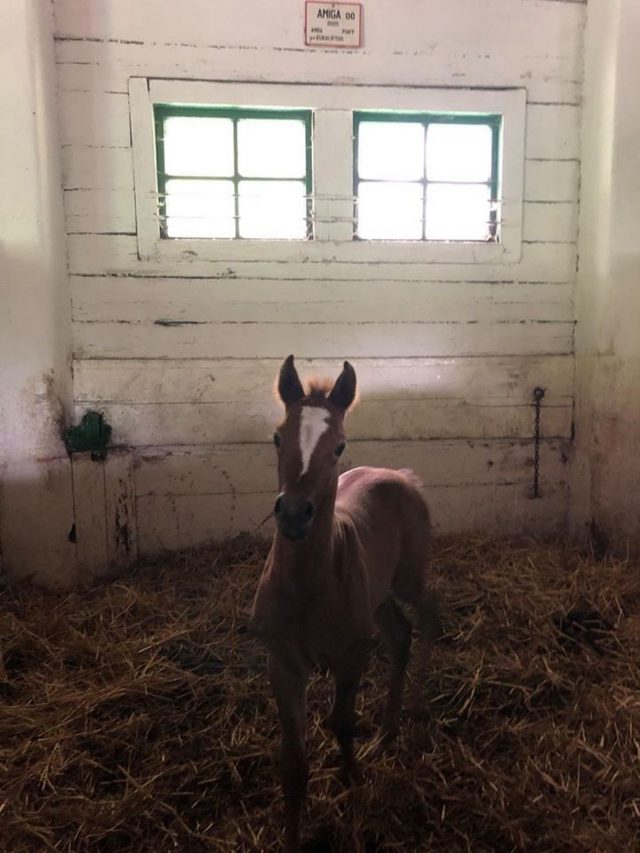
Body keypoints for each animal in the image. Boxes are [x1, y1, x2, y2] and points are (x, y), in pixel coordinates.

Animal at [250, 356, 436, 848]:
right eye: (278, 436)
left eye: (339, 446)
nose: (295, 515)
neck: (307, 588)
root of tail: (400, 476)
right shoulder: (283, 665)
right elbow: (294, 766)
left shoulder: (352, 653)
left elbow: (341, 722)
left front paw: (353, 783)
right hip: (379, 596)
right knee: (401, 635)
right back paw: (387, 731)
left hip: (409, 578)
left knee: (430, 617)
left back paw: (416, 709)